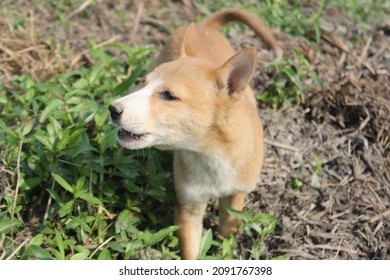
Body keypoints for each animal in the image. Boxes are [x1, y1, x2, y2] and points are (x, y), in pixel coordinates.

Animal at [108, 7, 282, 260]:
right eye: (144, 83)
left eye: (169, 95)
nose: (112, 109)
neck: (211, 153)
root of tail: (203, 26)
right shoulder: (189, 206)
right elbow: (190, 252)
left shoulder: (236, 196)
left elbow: (227, 232)